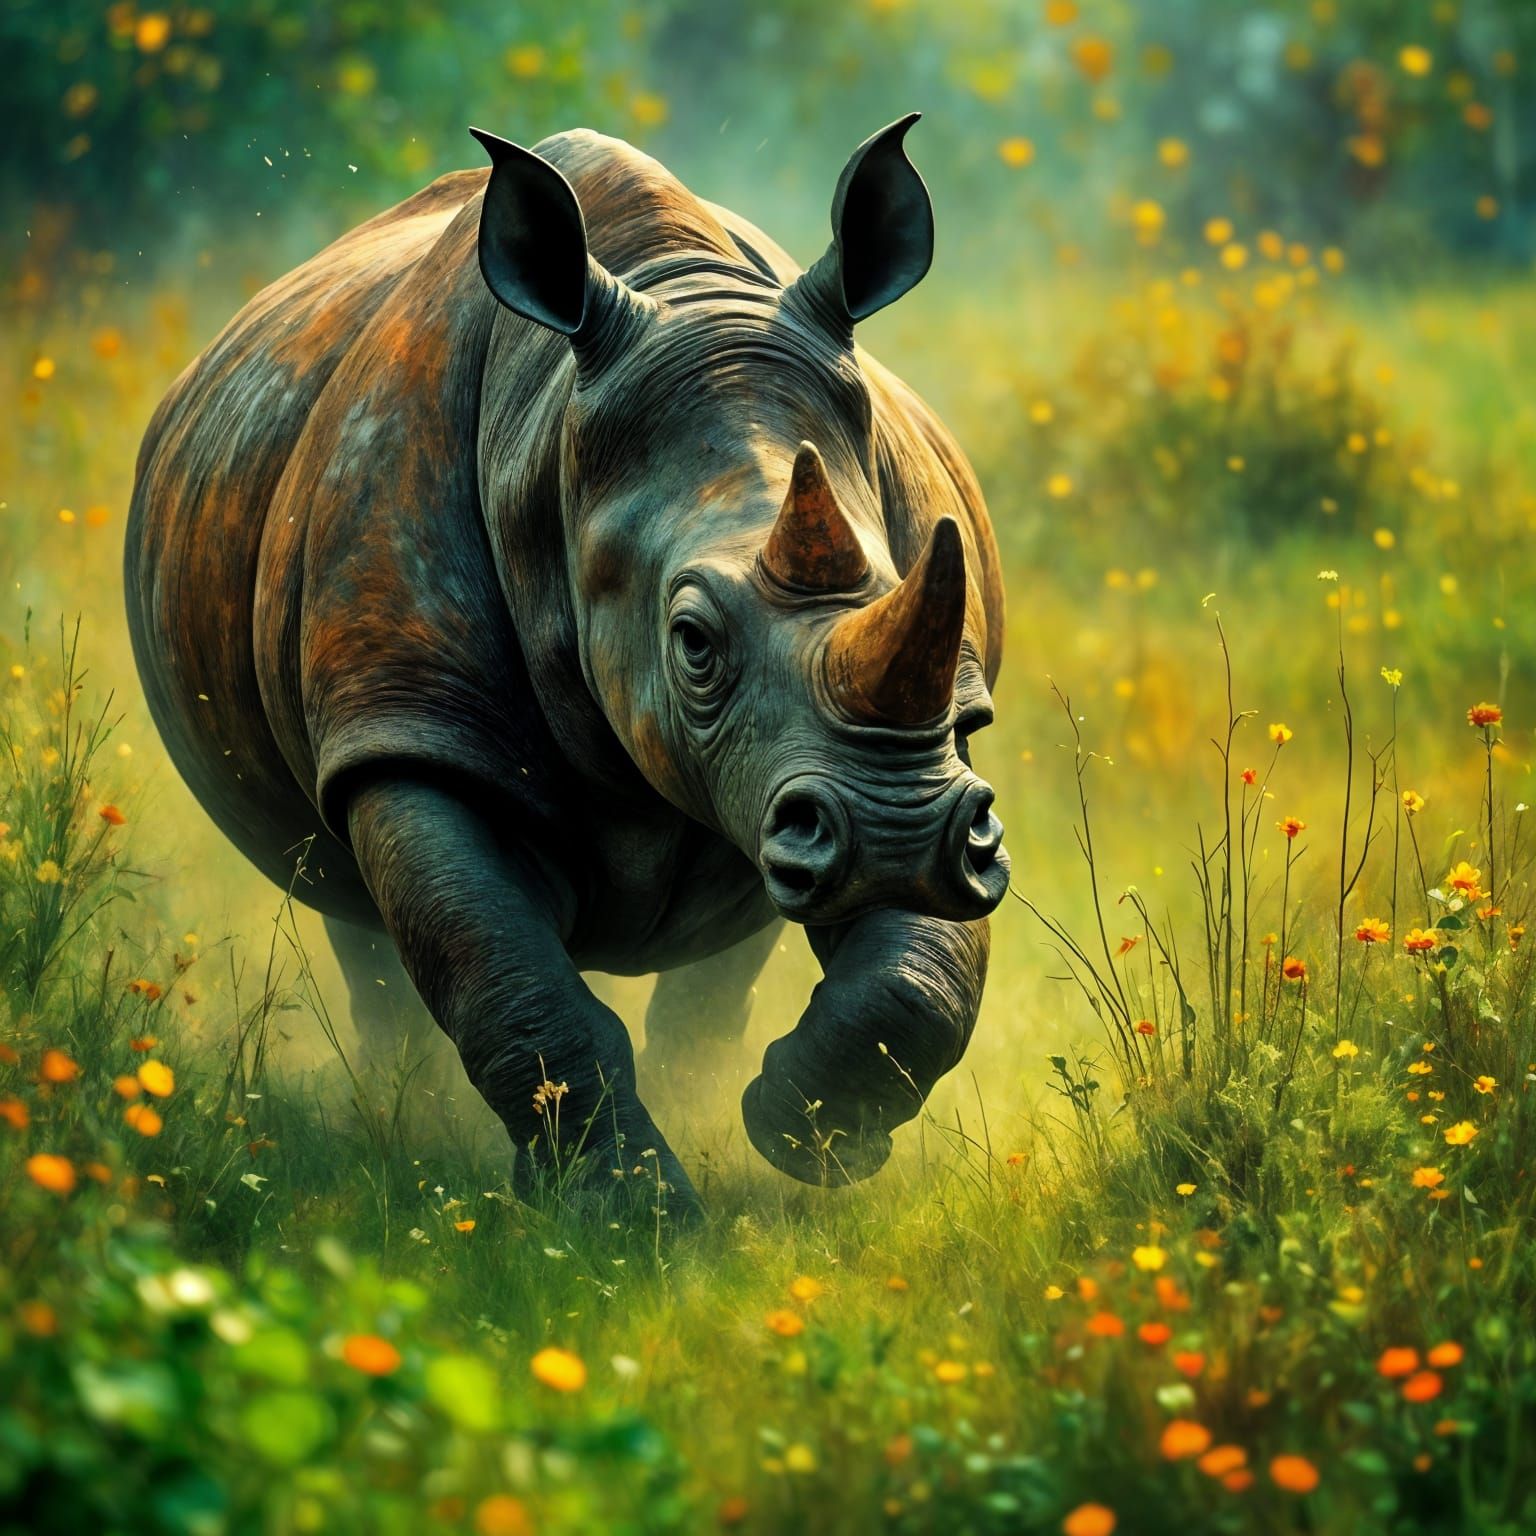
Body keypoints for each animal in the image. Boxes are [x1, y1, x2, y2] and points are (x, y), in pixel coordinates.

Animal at [125, 115, 1009, 1214]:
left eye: (915, 577)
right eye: (693, 642)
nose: (894, 838)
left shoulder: (921, 738)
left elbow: (920, 972)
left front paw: (806, 1134)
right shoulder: (406, 727)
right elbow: (507, 978)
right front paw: (630, 1217)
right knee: (356, 908)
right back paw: (401, 1113)